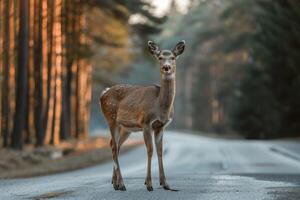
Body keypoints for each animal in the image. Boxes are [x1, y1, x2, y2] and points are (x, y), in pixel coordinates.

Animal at [100, 39, 185, 191]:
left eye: (173, 57)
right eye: (160, 58)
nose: (167, 67)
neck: (160, 107)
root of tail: (103, 94)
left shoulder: (160, 126)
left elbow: (160, 151)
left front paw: (165, 183)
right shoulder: (146, 123)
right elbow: (150, 150)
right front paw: (149, 184)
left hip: (125, 128)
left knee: (114, 145)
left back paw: (115, 183)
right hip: (111, 118)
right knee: (114, 147)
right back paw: (122, 184)